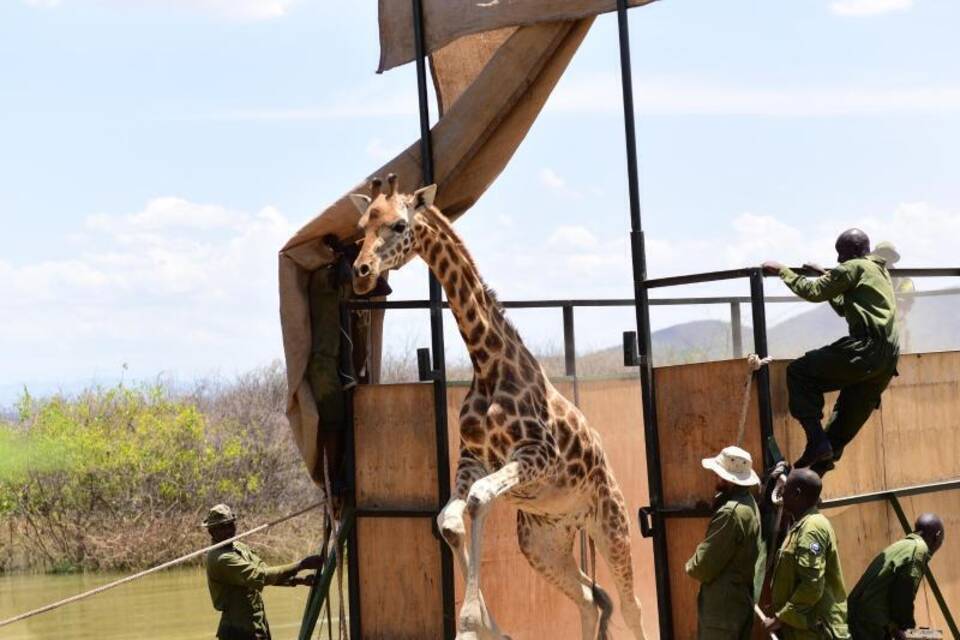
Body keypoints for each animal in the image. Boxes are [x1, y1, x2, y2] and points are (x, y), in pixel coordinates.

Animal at [348, 175, 648, 640]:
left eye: (399, 225)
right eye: (362, 225)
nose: (361, 273)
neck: (487, 364)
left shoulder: (536, 455)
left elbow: (477, 501)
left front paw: (472, 621)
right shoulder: (472, 459)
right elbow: (449, 521)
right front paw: (489, 625)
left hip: (611, 525)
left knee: (632, 608)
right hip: (542, 543)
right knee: (589, 598)